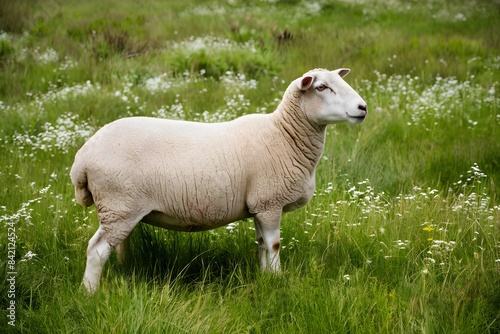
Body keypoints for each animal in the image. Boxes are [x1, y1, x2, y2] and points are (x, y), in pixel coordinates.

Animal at [70, 68, 368, 292]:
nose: (363, 107)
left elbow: (262, 245)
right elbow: (274, 245)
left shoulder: (258, 205)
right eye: (322, 88)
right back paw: (89, 293)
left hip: (121, 209)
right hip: (118, 205)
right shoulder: (270, 202)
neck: (283, 135)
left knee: (116, 245)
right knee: (96, 251)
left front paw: (265, 278)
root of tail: (82, 158)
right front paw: (277, 280)